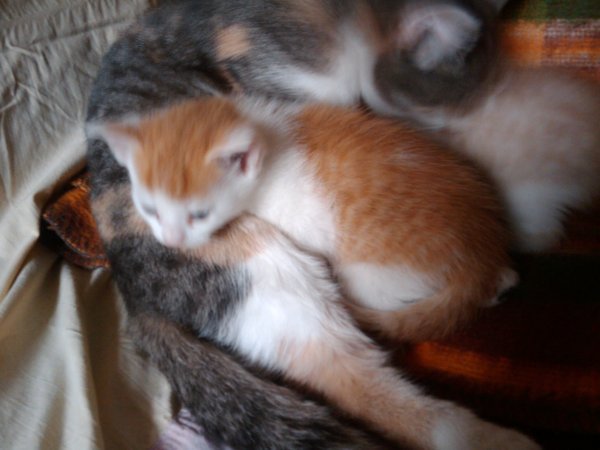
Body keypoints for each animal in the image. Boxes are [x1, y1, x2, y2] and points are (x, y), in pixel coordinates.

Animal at [89, 95, 516, 344]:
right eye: (150, 209)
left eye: (200, 215)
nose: (172, 241)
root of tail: (482, 249)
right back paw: (504, 280)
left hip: (370, 276)